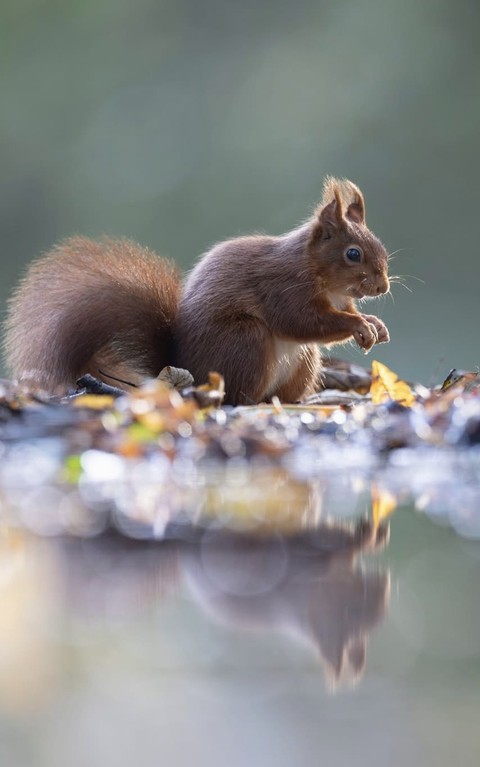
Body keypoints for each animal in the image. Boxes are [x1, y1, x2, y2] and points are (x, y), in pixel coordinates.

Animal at [3, 177, 390, 405]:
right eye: (353, 254)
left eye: (380, 246)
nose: (383, 286)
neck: (325, 278)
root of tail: (190, 371)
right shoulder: (284, 288)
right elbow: (304, 322)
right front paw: (360, 326)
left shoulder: (341, 300)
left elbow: (344, 313)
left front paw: (374, 324)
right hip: (246, 342)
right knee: (239, 396)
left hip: (304, 361)